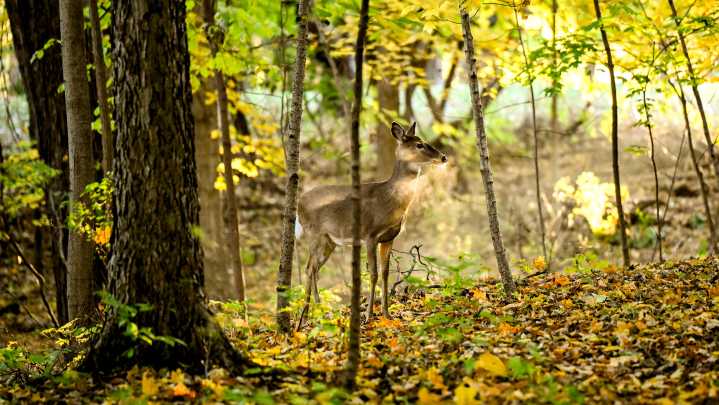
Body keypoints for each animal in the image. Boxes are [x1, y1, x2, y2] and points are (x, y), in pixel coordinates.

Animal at [295, 121, 447, 325]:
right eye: (419, 144)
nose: (443, 157)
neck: (389, 200)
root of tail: (299, 203)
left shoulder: (388, 238)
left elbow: (385, 273)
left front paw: (387, 313)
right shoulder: (369, 235)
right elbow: (373, 274)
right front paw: (368, 316)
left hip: (329, 241)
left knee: (312, 268)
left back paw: (309, 316)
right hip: (314, 233)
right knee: (311, 268)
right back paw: (315, 313)